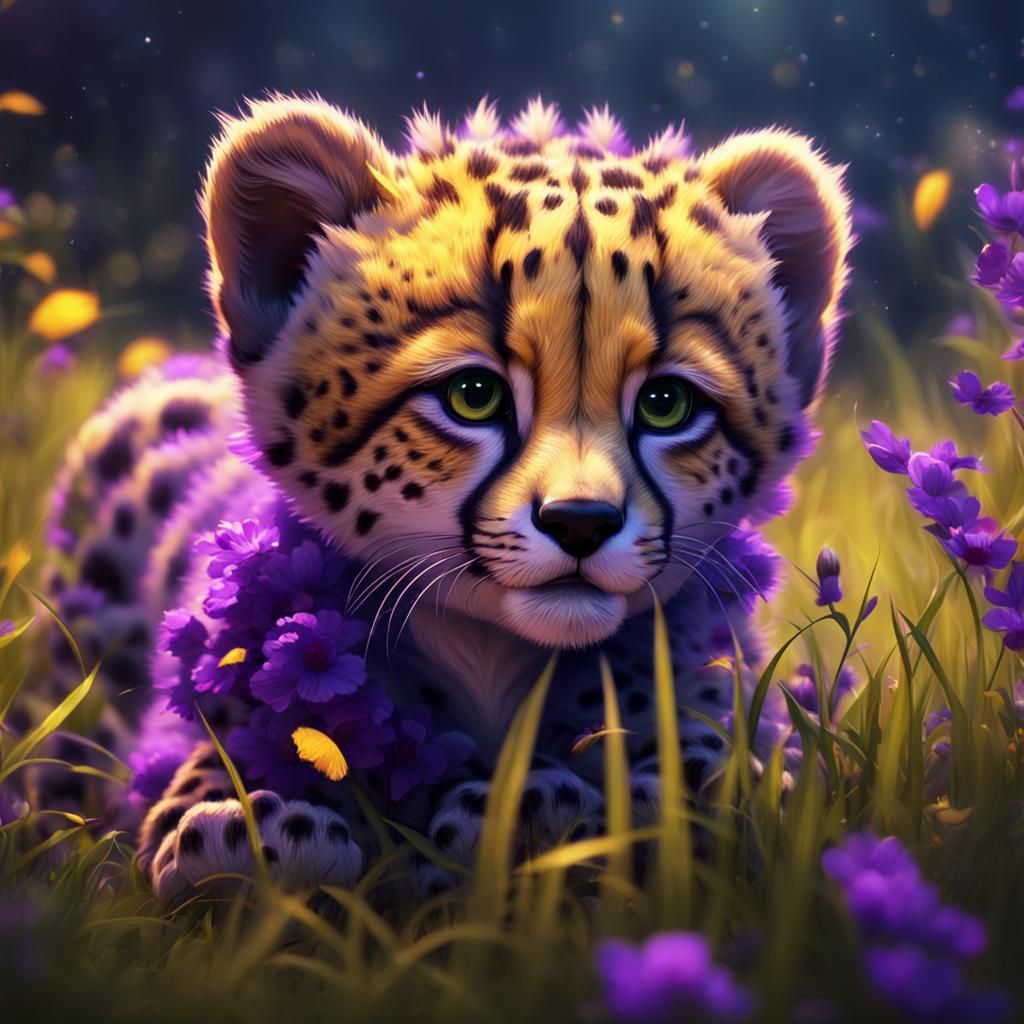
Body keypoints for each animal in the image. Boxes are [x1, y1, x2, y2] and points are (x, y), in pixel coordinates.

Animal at [43, 94, 851, 901]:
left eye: (665, 404)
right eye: (473, 395)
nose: (581, 523)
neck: (489, 653)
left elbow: (739, 768)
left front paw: (623, 797)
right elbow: (202, 781)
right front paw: (247, 831)